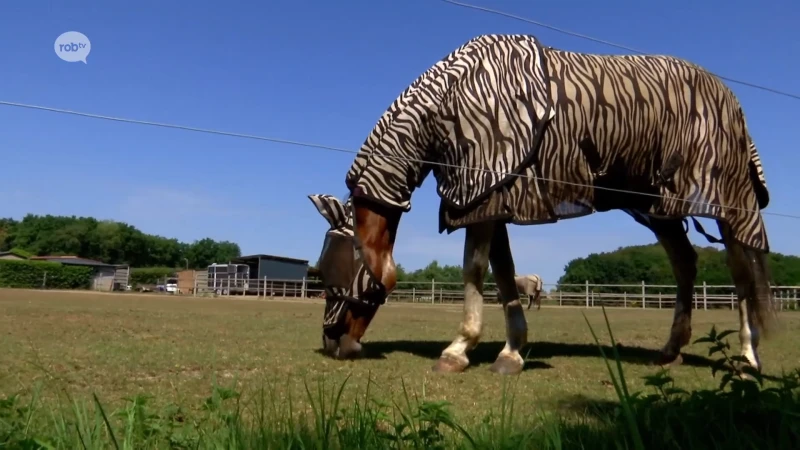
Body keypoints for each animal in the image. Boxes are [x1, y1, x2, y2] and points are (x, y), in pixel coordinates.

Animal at [306, 32, 776, 376]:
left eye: (334, 281)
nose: (332, 343)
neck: (455, 102)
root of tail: (730, 97)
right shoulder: (492, 198)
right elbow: (503, 275)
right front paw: (510, 351)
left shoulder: (487, 197)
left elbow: (474, 270)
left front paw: (458, 350)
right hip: (658, 208)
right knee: (685, 264)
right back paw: (670, 350)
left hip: (728, 200)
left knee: (741, 269)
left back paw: (748, 358)